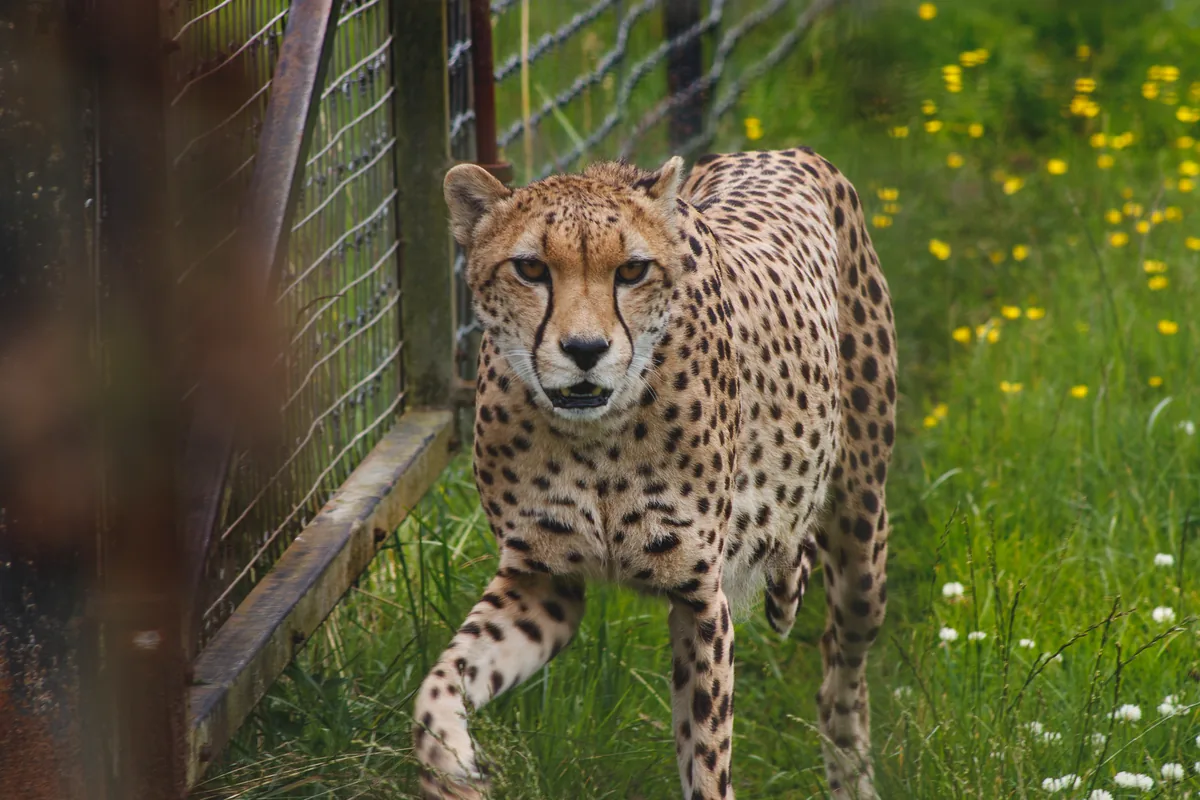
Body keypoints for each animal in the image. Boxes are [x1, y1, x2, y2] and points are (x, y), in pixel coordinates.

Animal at [413, 148, 897, 800]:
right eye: (531, 268)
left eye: (632, 271)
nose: (585, 349)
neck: (597, 438)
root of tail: (784, 151)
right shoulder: (543, 580)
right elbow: (439, 683)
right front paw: (450, 767)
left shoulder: (702, 602)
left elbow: (708, 760)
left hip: (862, 535)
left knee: (840, 671)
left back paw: (851, 773)